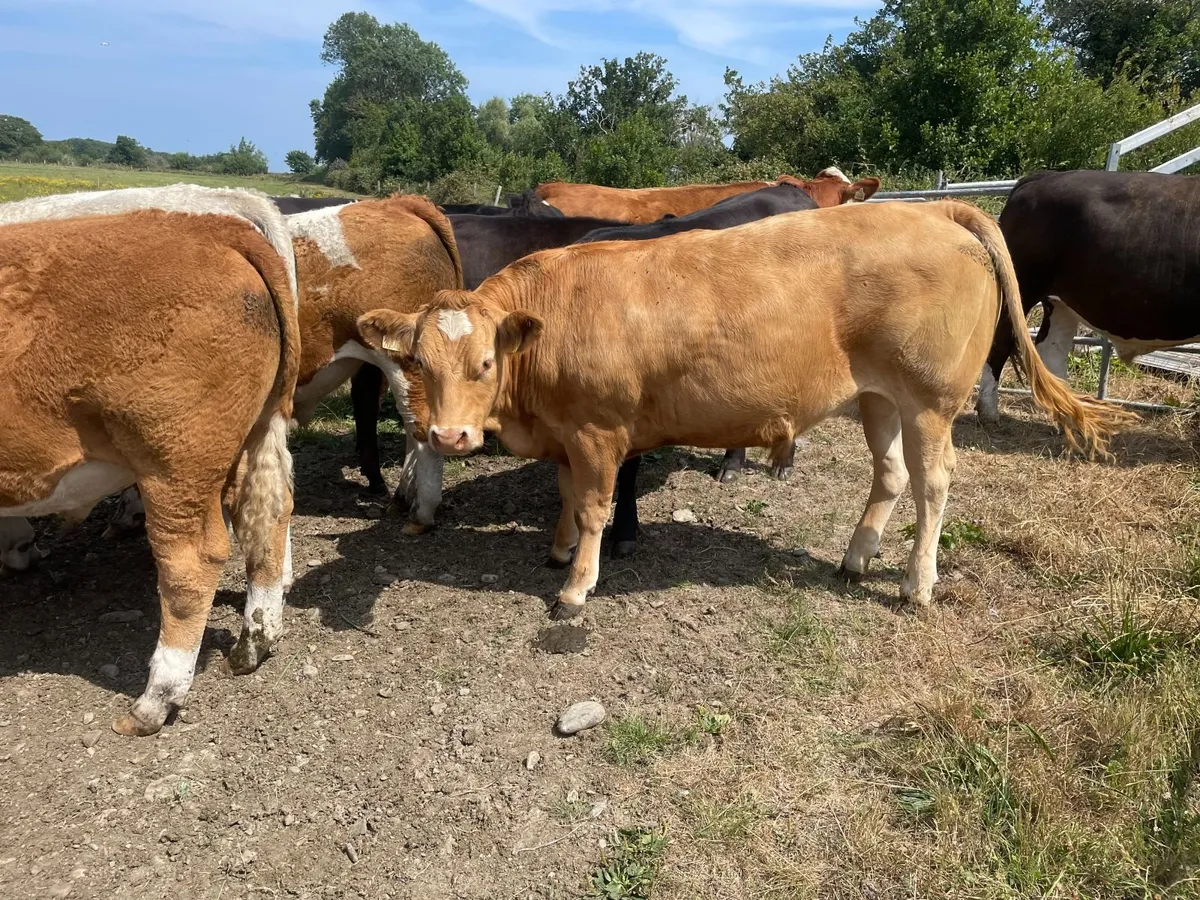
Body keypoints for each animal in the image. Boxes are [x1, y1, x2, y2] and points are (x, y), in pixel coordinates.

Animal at [0, 184, 300, 735]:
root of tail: (215, 224)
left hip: (172, 459)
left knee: (191, 562)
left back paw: (155, 701)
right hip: (256, 429)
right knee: (269, 514)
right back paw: (253, 644)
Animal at [356, 200, 1132, 619]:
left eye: (484, 363)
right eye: (418, 361)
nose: (447, 435)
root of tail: (934, 210)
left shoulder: (601, 429)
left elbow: (596, 505)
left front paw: (577, 583)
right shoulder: (570, 431)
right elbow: (567, 493)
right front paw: (558, 548)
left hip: (930, 402)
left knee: (933, 482)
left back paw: (917, 582)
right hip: (878, 398)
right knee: (890, 475)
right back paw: (856, 556)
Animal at [978, 170, 1200, 423]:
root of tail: (1041, 177)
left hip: (1059, 303)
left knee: (1052, 349)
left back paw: (1069, 411)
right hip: (1021, 288)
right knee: (1003, 338)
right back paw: (988, 411)